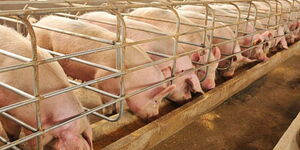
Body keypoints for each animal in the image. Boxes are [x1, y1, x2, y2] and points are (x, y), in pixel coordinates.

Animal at [33, 14, 175, 118]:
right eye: (156, 100)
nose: (155, 115)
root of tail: (39, 23)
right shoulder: (103, 80)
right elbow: (107, 101)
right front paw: (109, 114)